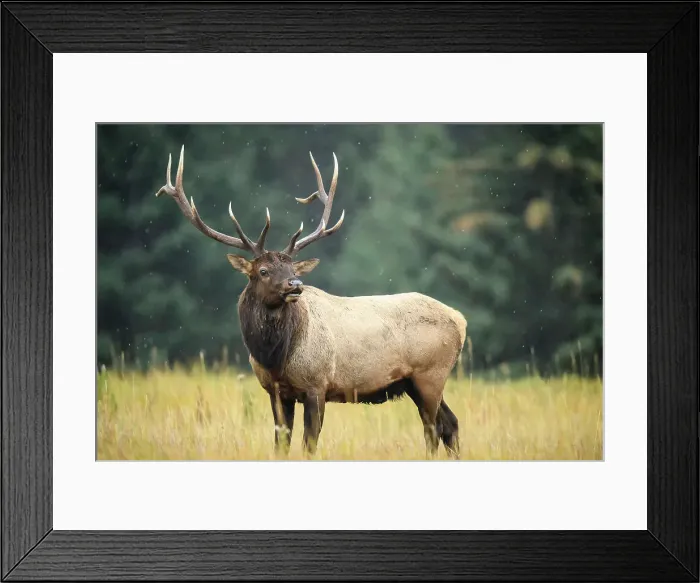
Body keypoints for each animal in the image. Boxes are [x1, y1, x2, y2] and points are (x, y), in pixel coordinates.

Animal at [155, 146, 467, 458]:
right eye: (263, 271)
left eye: (292, 269)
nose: (295, 285)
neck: (275, 357)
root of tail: (460, 320)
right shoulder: (276, 392)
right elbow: (281, 444)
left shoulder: (317, 385)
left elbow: (309, 445)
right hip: (415, 383)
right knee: (450, 423)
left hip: (431, 375)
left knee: (433, 429)